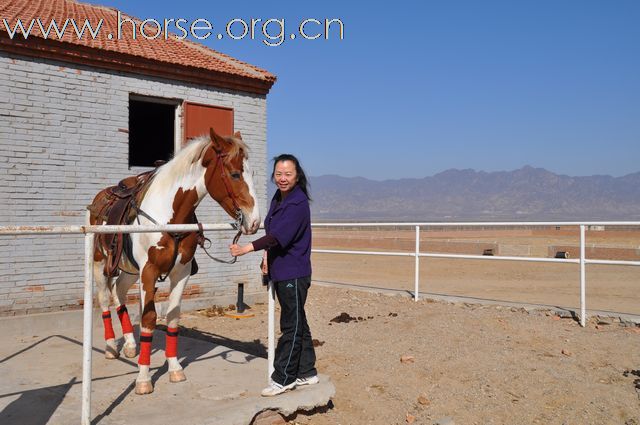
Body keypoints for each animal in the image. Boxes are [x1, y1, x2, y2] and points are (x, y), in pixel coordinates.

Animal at [87, 126, 260, 394]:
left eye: (252, 173)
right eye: (234, 174)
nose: (254, 221)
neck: (170, 215)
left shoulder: (181, 272)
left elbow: (172, 316)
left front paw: (175, 368)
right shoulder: (148, 271)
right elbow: (148, 319)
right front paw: (143, 378)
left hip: (129, 270)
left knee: (119, 293)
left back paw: (129, 344)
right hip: (99, 263)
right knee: (105, 298)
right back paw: (110, 346)